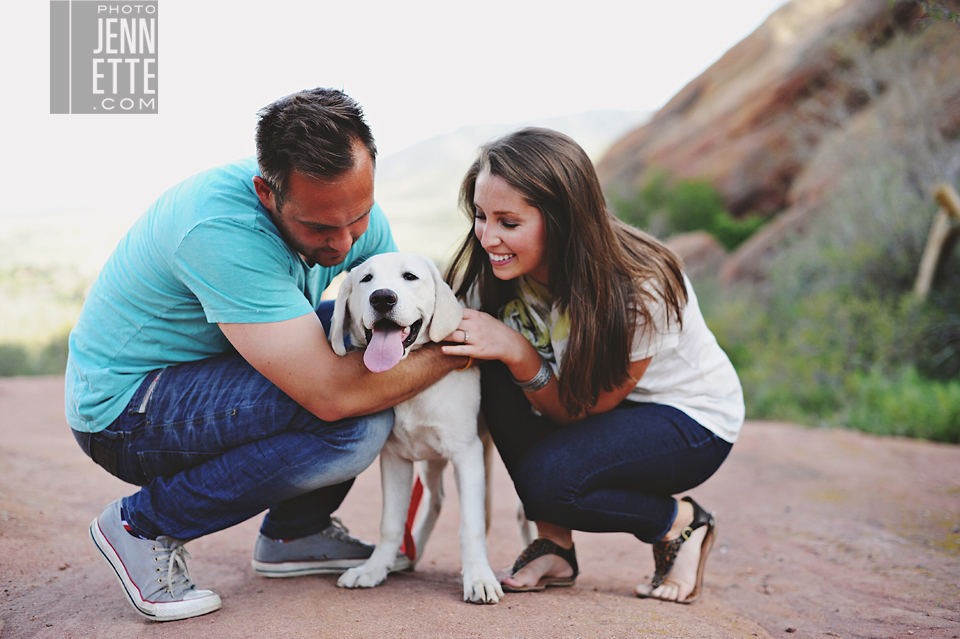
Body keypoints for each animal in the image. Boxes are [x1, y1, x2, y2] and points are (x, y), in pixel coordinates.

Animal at [330, 251, 502, 604]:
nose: (382, 298)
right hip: (431, 459)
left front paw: (479, 578)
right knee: (435, 498)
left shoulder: (467, 454)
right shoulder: (395, 459)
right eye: (366, 279)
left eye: (410, 277)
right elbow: (391, 523)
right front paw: (373, 569)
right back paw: (412, 553)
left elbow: (471, 525)